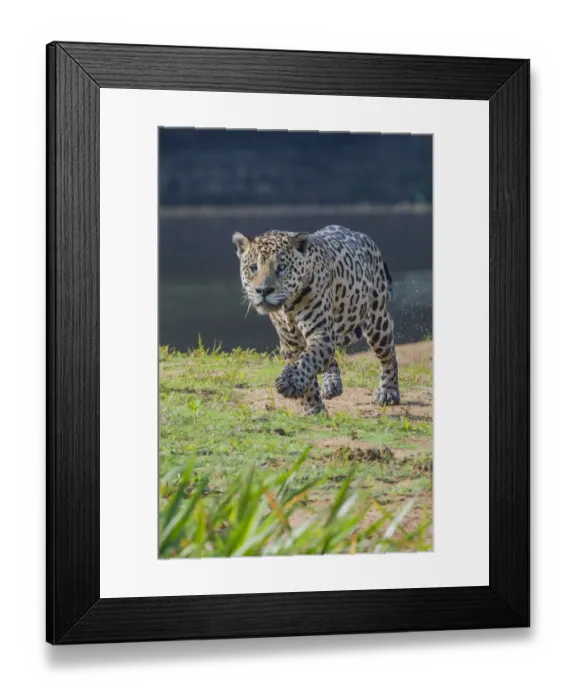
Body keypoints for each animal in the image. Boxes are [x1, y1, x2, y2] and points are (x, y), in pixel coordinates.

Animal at [233, 225, 400, 415]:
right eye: (253, 267)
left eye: (281, 267)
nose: (263, 290)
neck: (287, 308)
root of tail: (364, 237)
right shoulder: (290, 343)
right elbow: (308, 370)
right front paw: (313, 408)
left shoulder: (320, 333)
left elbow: (307, 360)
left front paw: (288, 382)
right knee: (329, 358)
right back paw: (332, 384)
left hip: (377, 321)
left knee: (388, 355)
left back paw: (388, 392)